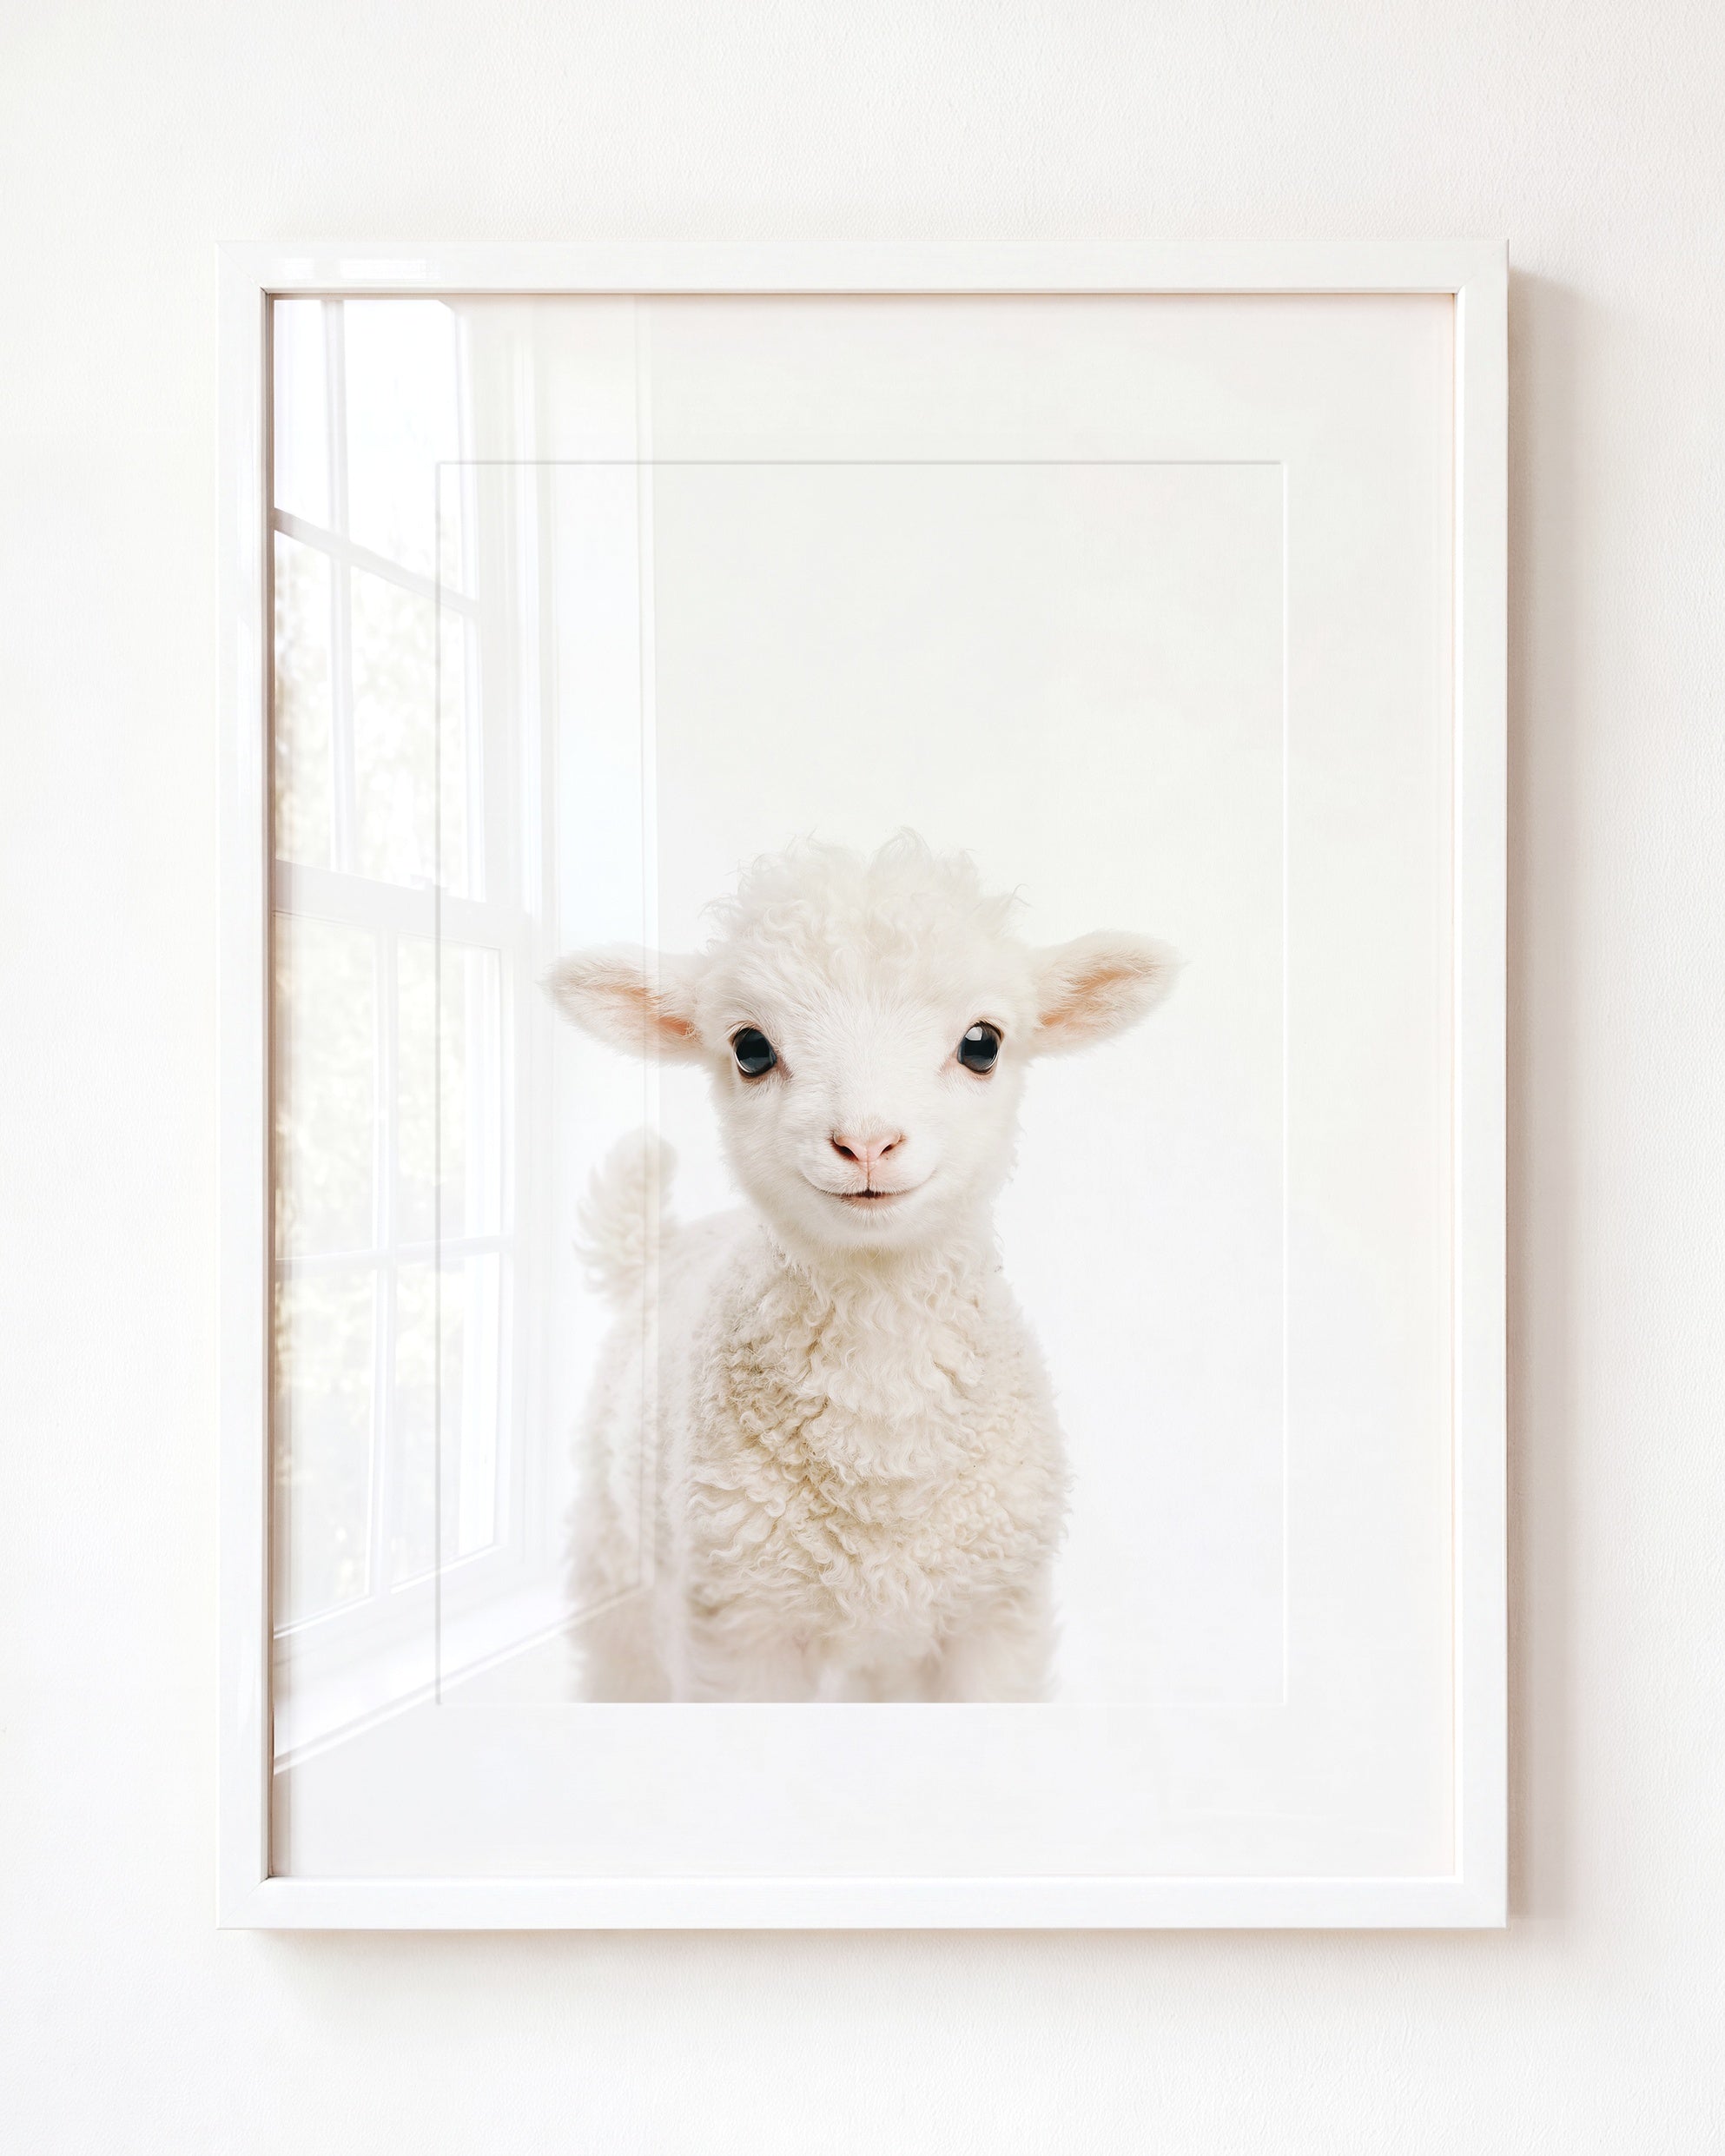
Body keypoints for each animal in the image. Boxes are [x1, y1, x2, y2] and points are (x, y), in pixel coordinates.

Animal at [545, 833, 1175, 1702]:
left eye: (983, 1044)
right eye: (750, 1049)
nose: (867, 1142)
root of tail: (662, 1245)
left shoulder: (993, 1617)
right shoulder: (740, 1626)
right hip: (619, 1571)